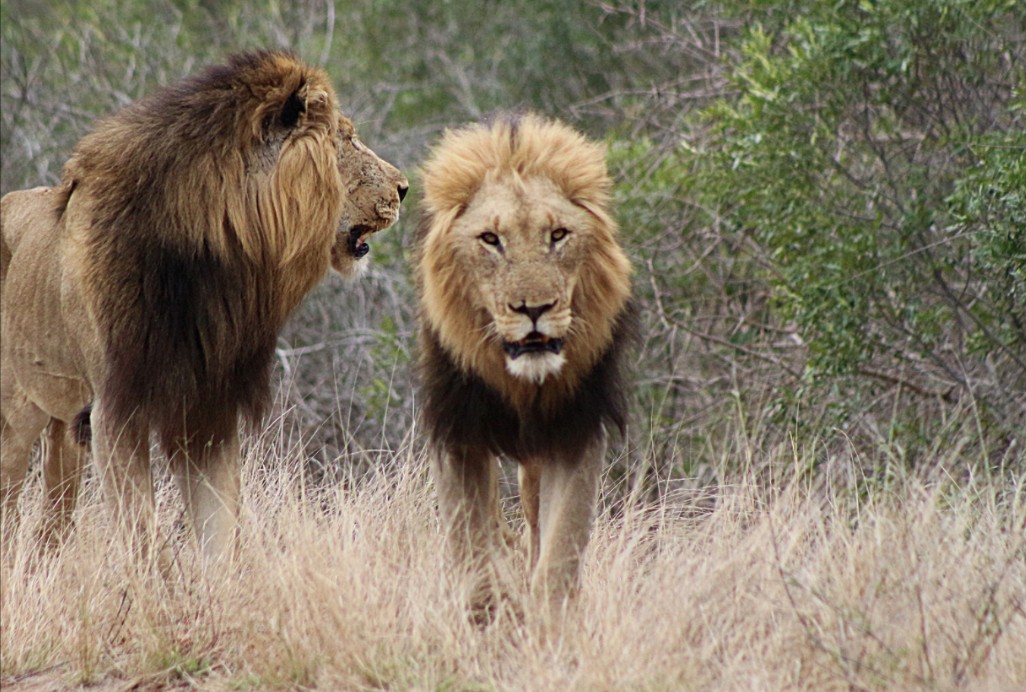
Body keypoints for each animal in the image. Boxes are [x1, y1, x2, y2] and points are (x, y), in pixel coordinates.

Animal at [0, 52, 408, 558]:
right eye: (347, 138)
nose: (405, 188)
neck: (217, 257)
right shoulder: (116, 411)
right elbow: (143, 537)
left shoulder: (209, 406)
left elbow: (219, 529)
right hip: (14, 417)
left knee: (53, 523)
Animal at [414, 112, 632, 620]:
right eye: (491, 240)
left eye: (558, 235)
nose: (534, 308)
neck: (522, 386)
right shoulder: (456, 432)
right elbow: (473, 546)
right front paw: (494, 610)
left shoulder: (575, 433)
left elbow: (560, 553)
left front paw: (549, 627)